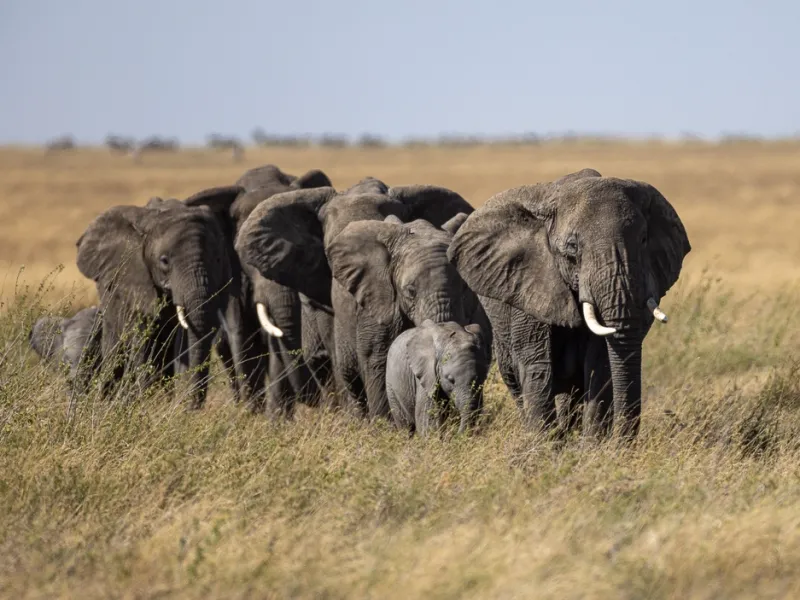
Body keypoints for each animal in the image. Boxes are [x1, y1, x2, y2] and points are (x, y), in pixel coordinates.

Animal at [76, 186, 246, 409]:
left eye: (218, 259)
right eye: (164, 261)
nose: (190, 410)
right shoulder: (134, 281)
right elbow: (142, 339)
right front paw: (145, 403)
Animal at [448, 168, 690, 439]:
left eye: (644, 239)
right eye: (572, 248)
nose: (622, 442)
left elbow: (601, 363)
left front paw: (592, 445)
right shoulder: (528, 283)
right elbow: (537, 364)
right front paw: (544, 443)